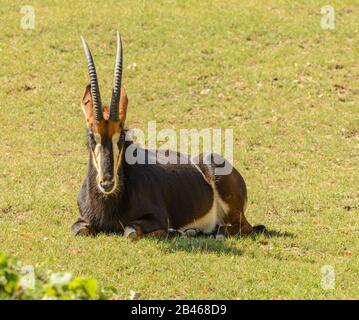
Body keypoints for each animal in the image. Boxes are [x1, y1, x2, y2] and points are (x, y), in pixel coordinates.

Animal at [71, 32, 266, 239]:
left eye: (121, 136)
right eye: (92, 136)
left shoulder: (157, 218)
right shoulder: (81, 220)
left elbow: (131, 231)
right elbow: (79, 230)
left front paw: (172, 232)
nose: (107, 182)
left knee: (244, 227)